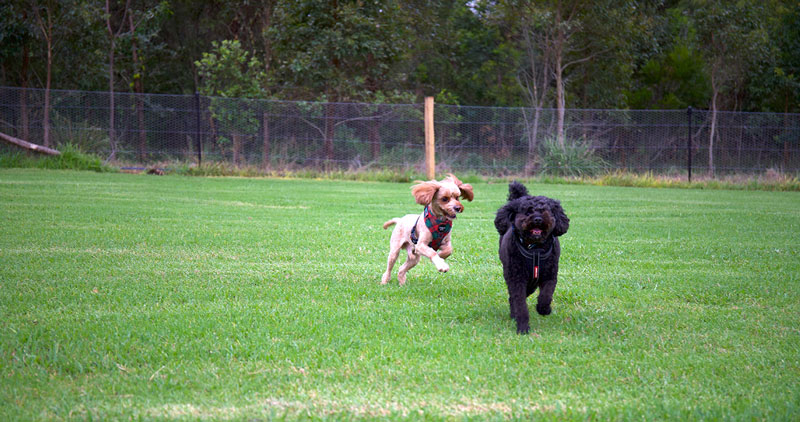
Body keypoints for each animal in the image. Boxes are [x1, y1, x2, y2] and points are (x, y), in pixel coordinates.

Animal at [494, 181, 568, 332]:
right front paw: (522, 327)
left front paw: (544, 309)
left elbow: (546, 295)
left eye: (546, 210)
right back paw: (513, 314)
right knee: (513, 297)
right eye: (527, 211)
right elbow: (520, 304)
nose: (538, 219)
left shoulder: (550, 275)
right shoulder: (517, 278)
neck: (535, 250)